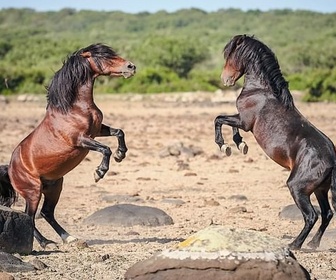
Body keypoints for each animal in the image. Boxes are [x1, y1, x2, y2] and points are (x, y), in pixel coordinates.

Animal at [0, 42, 136, 248]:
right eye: (104, 56)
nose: (131, 67)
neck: (73, 107)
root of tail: (10, 168)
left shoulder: (97, 131)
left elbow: (119, 132)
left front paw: (121, 154)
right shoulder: (81, 140)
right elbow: (105, 149)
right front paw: (99, 173)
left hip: (54, 187)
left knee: (46, 213)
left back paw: (70, 238)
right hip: (33, 191)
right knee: (30, 216)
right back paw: (46, 243)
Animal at [214, 34, 336, 249]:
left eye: (231, 54)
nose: (225, 79)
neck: (261, 89)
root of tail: (332, 157)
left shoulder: (244, 121)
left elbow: (219, 119)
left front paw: (224, 146)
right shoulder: (242, 120)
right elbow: (228, 124)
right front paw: (240, 145)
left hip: (297, 187)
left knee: (312, 215)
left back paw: (295, 245)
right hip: (320, 189)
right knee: (327, 213)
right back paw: (313, 244)